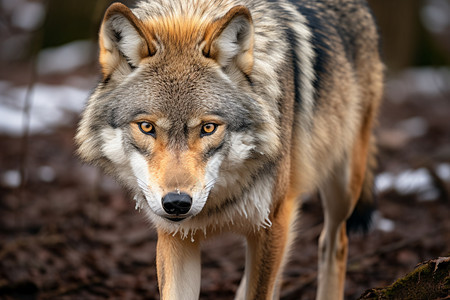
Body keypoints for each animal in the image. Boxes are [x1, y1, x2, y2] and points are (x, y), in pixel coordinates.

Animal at [76, 0, 384, 298]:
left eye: (208, 128)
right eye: (146, 127)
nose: (176, 203)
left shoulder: (273, 221)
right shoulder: (175, 236)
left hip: (342, 187)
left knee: (334, 243)